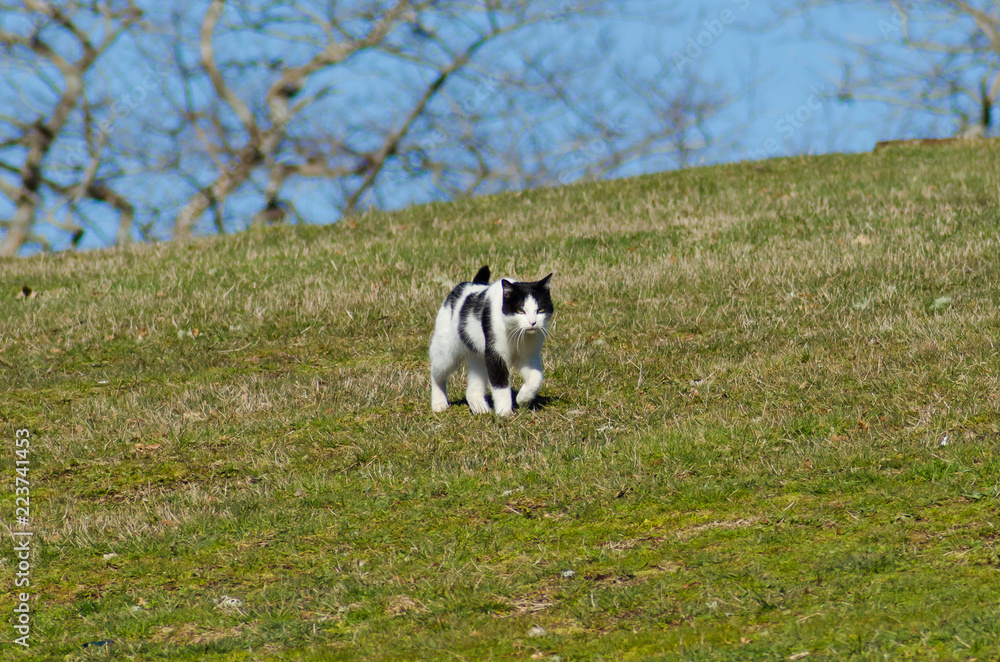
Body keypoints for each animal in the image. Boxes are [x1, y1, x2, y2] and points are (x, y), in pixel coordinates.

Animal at [430, 268, 556, 418]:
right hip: (447, 352)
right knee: (436, 373)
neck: (517, 333)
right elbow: (500, 385)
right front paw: (505, 413)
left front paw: (522, 398)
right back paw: (439, 403)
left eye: (540, 310)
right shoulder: (495, 355)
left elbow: (536, 378)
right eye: (520, 310)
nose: (533, 322)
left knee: (472, 388)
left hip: (479, 357)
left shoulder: (529, 356)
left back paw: (480, 408)